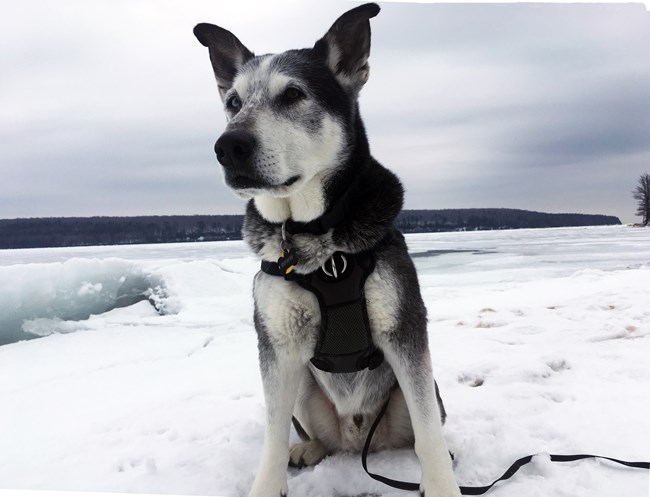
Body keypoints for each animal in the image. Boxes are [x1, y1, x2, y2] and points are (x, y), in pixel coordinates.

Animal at [194, 3, 460, 496]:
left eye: (293, 94)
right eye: (233, 102)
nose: (228, 146)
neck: (311, 233)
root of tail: (359, 442)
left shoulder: (405, 329)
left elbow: (428, 432)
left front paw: (441, 483)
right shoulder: (277, 345)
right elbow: (272, 434)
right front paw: (269, 481)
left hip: (419, 392)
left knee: (420, 430)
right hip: (304, 387)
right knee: (311, 433)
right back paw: (309, 449)